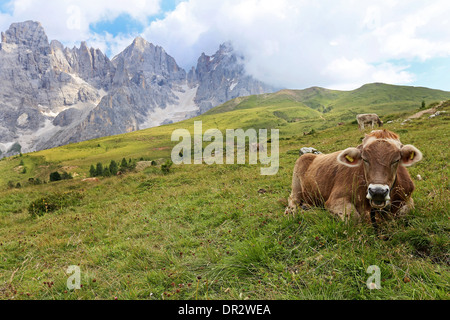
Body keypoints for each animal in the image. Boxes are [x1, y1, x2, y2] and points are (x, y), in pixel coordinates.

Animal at [286, 129, 424, 224]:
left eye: (396, 160)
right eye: (364, 159)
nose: (377, 192)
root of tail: (311, 155)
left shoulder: (407, 198)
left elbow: (405, 212)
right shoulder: (335, 200)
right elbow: (354, 218)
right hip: (296, 185)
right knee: (293, 200)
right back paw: (291, 212)